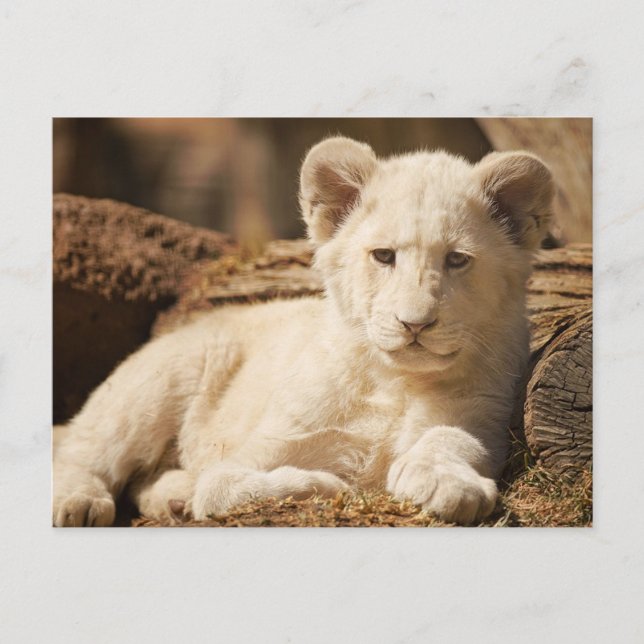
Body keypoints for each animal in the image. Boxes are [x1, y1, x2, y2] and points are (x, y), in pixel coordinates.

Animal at [53, 136, 553, 526]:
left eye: (457, 259)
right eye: (384, 256)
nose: (415, 323)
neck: (392, 382)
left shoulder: (483, 415)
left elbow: (450, 439)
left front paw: (448, 484)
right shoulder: (262, 447)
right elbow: (221, 484)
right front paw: (328, 485)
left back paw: (172, 497)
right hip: (157, 381)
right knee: (82, 450)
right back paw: (79, 502)